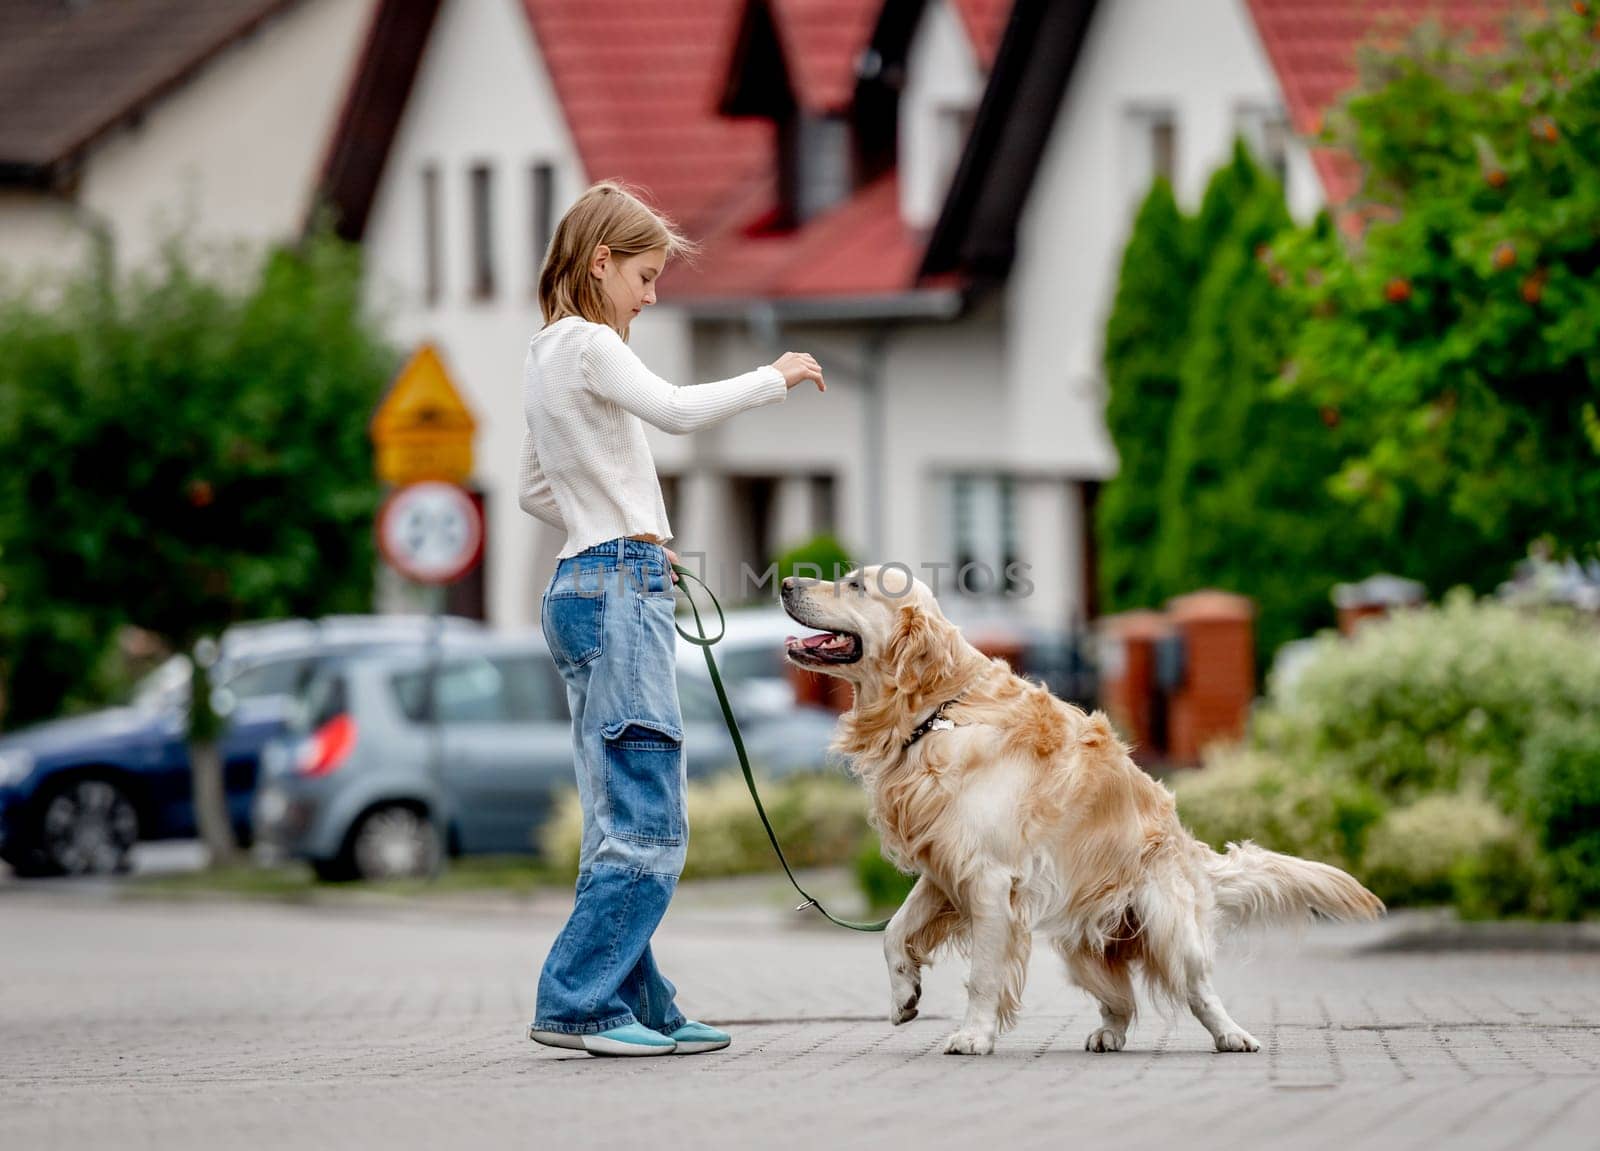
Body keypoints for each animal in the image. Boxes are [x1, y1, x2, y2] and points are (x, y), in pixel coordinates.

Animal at [780, 563, 1382, 1056]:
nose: (785, 582)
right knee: (1120, 999)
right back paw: (1108, 1034)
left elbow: (982, 974)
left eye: (855, 585)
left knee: (1199, 989)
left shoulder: (989, 879)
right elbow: (893, 932)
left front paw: (973, 1036)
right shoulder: (944, 868)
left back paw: (1234, 1035)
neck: (937, 711)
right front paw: (905, 994)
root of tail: (1189, 845)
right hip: (1079, 938)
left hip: (1168, 924)